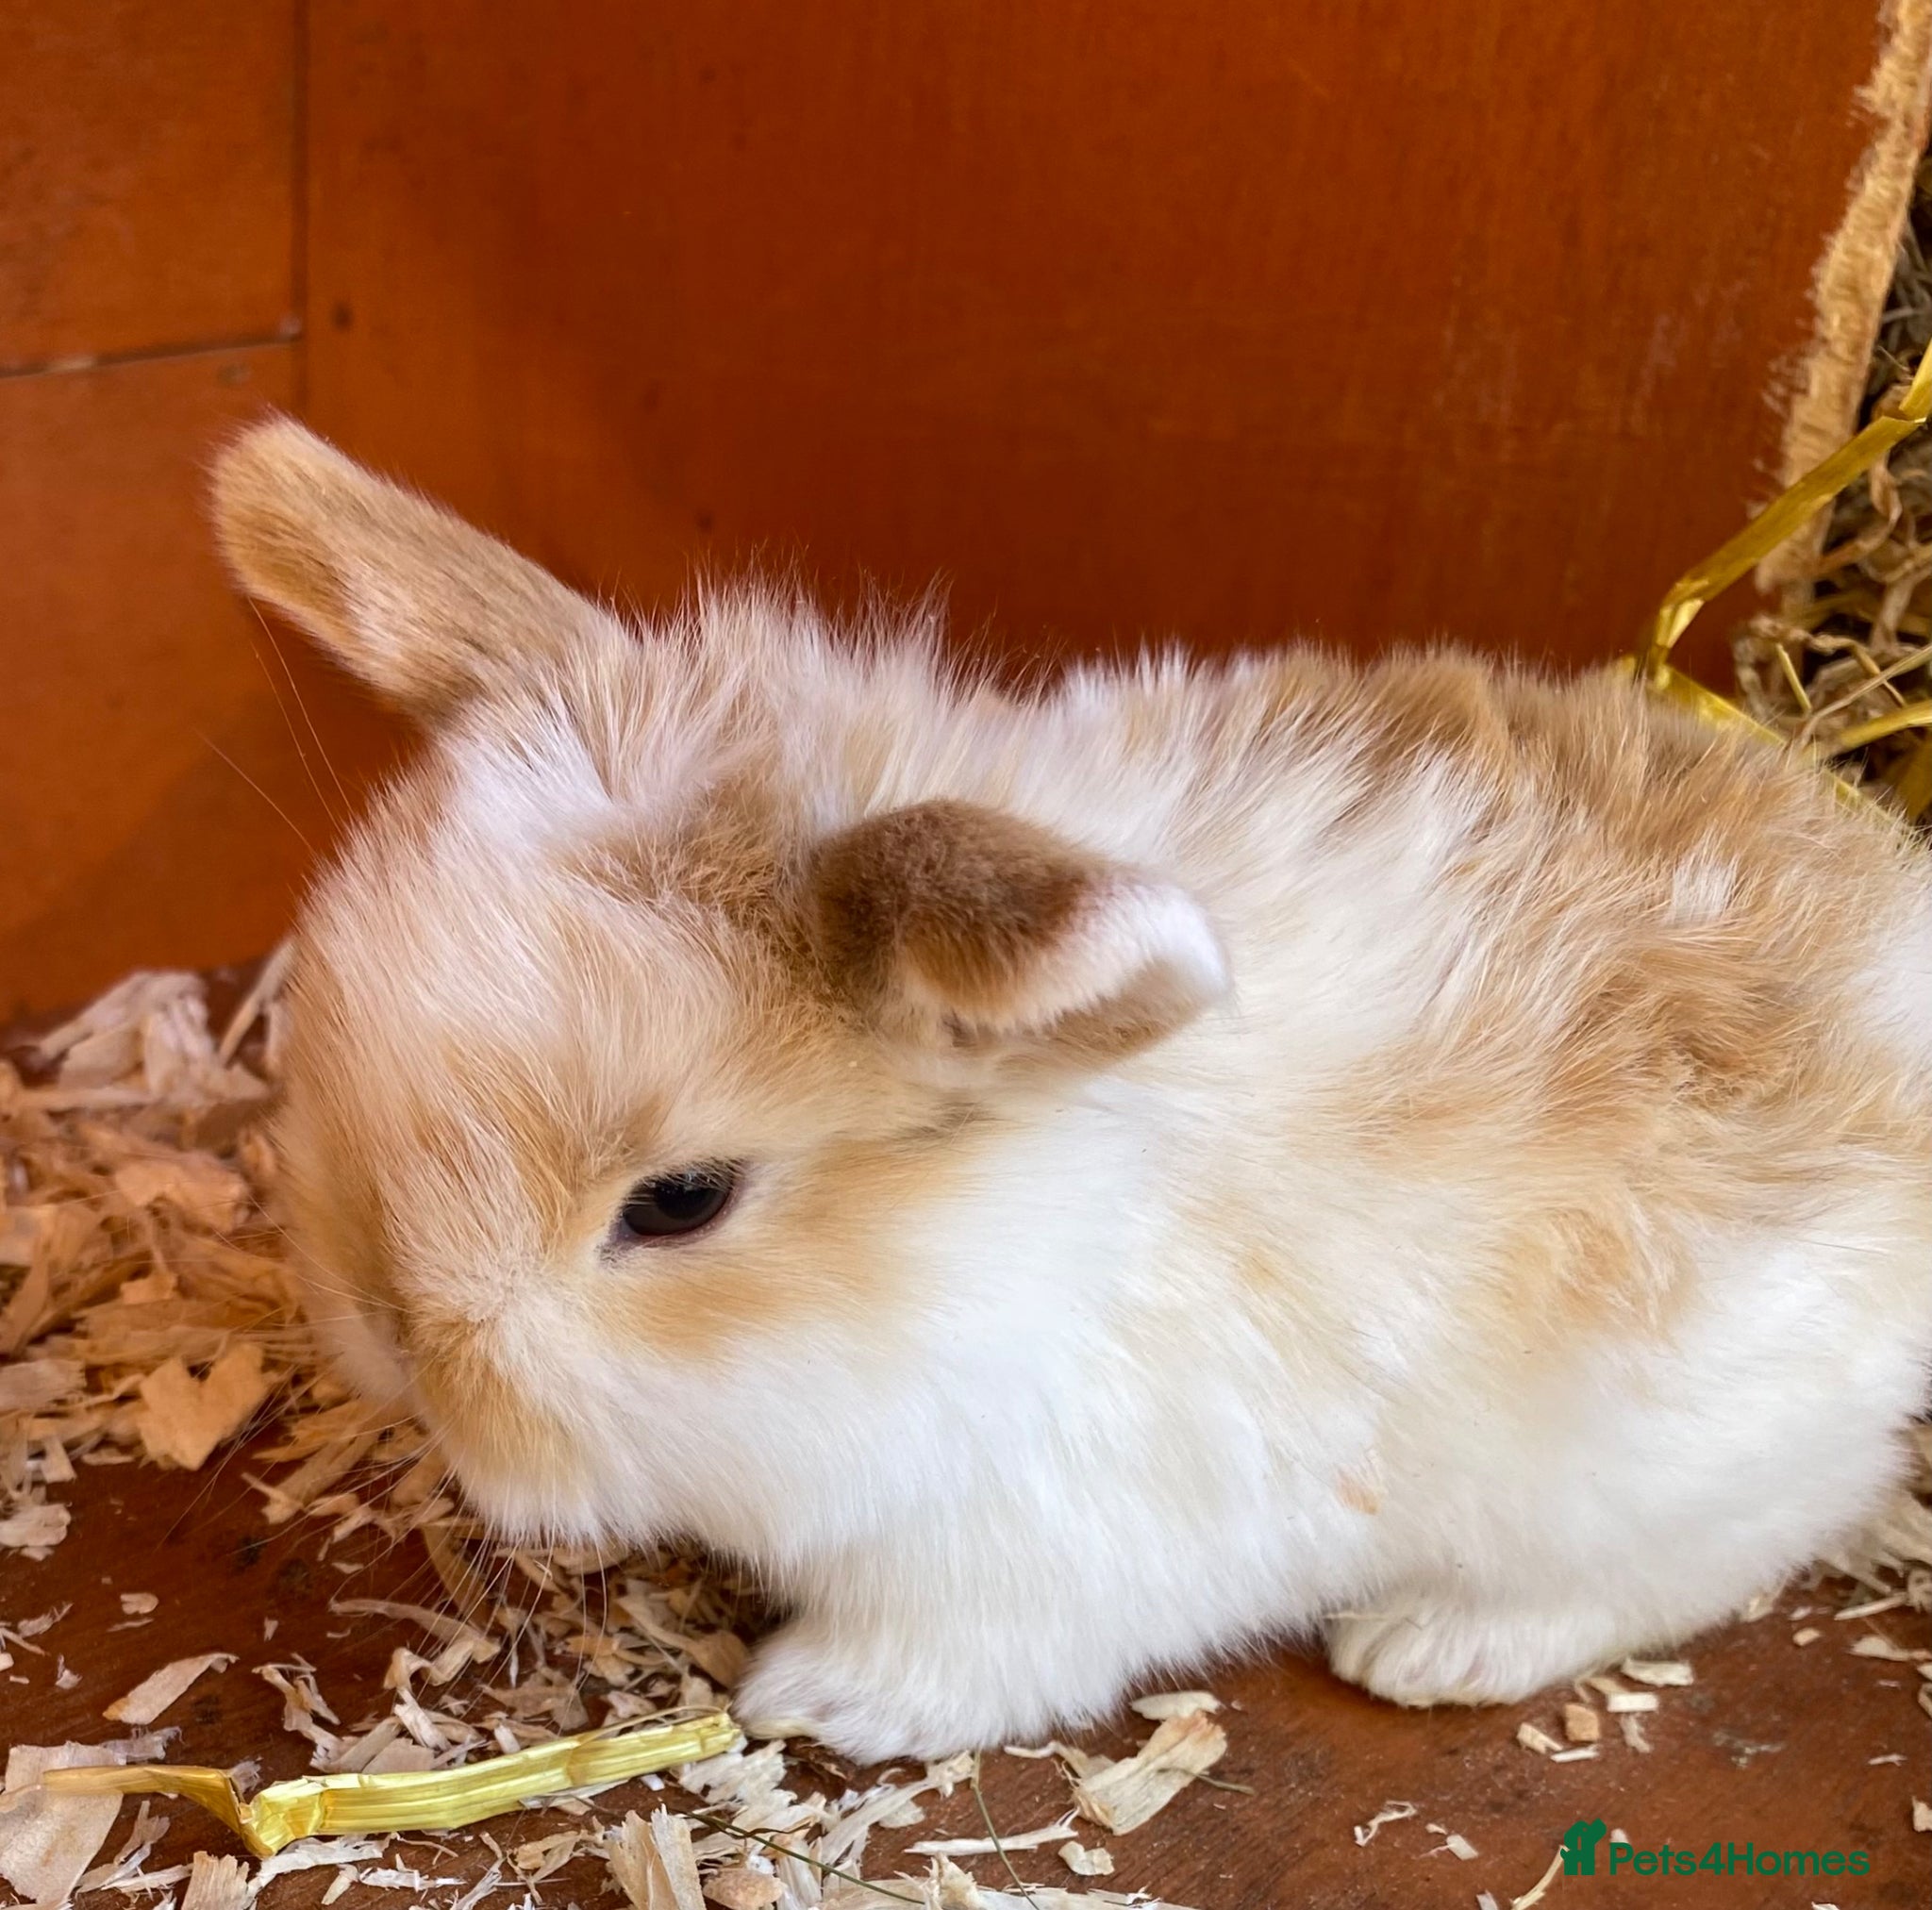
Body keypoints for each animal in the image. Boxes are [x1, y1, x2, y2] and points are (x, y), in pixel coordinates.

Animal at [209, 416, 1932, 1763]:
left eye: (680, 1203)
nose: (391, 1342)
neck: (1012, 1236)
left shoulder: (1025, 1551)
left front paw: (817, 1699)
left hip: (1661, 1458)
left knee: (1720, 1553)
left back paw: (1429, 1647)